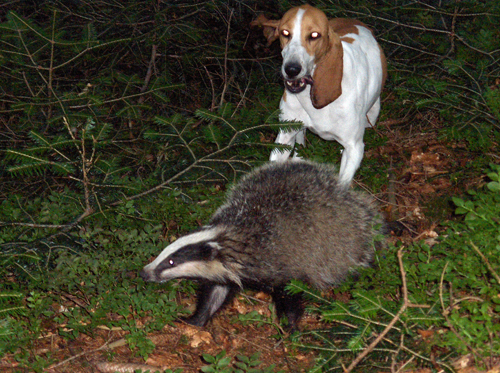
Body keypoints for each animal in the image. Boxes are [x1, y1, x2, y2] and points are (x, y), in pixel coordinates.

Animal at [254, 4, 386, 185]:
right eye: (285, 33)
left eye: (314, 35)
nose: (291, 69)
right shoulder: (285, 136)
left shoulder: (354, 148)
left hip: (371, 118)